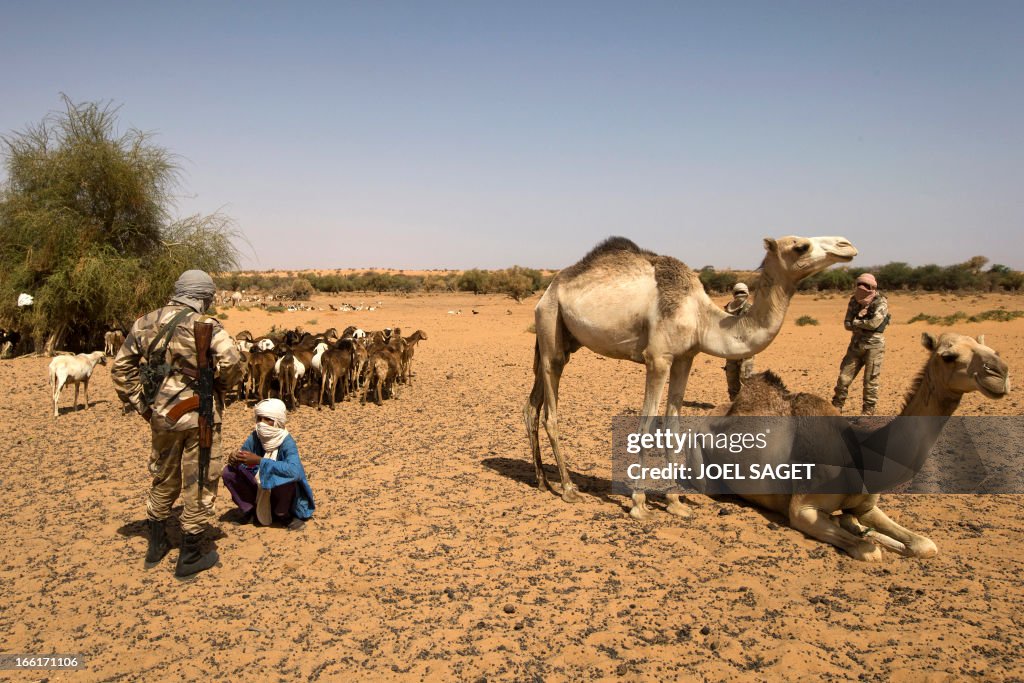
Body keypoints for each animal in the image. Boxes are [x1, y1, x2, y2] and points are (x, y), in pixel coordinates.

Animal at [528, 235, 856, 518]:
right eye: (800, 246)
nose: (847, 245)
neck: (701, 317)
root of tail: (548, 290)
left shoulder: (685, 358)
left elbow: (672, 424)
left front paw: (675, 502)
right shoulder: (658, 358)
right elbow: (646, 425)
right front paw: (639, 504)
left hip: (564, 339)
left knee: (531, 406)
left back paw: (542, 480)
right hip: (550, 325)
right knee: (550, 410)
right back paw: (568, 488)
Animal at [729, 331, 1007, 561]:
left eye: (994, 351)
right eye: (948, 356)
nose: (1000, 373)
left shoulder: (868, 506)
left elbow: (925, 545)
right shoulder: (802, 510)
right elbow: (869, 551)